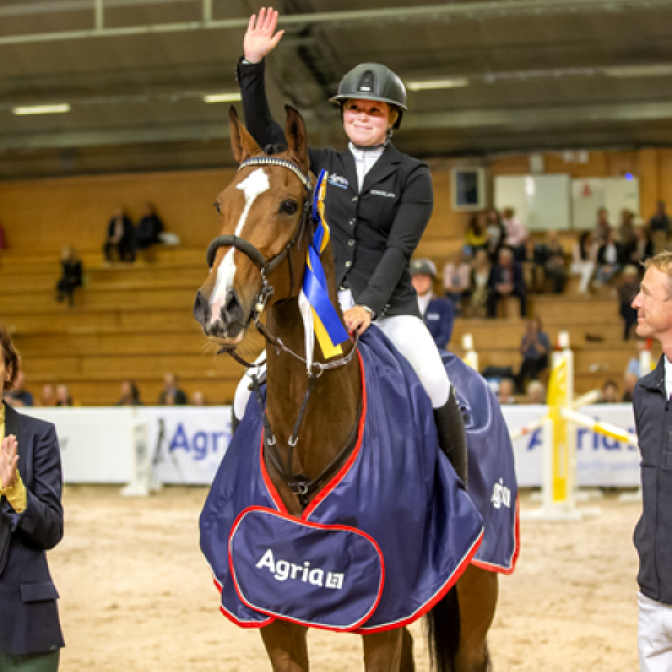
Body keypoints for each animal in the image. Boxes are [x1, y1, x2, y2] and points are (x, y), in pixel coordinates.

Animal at [192, 102, 496, 668]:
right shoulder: (273, 608)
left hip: (475, 588)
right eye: (221, 202)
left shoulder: (382, 603)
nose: (218, 306)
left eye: (290, 205)